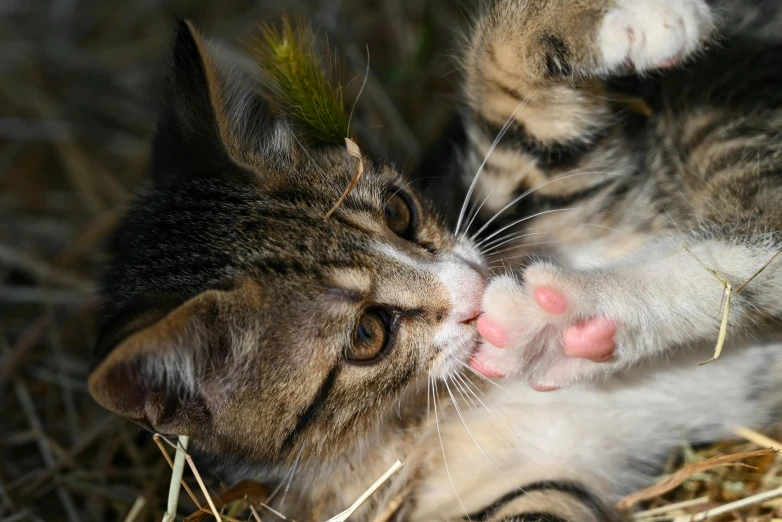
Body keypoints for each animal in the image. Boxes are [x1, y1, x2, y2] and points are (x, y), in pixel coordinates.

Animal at [89, 1, 782, 520]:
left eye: (399, 211)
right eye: (367, 335)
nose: (474, 286)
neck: (417, 416)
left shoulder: (547, 188)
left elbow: (512, 93)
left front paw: (626, 20)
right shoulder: (504, 491)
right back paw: (557, 322)